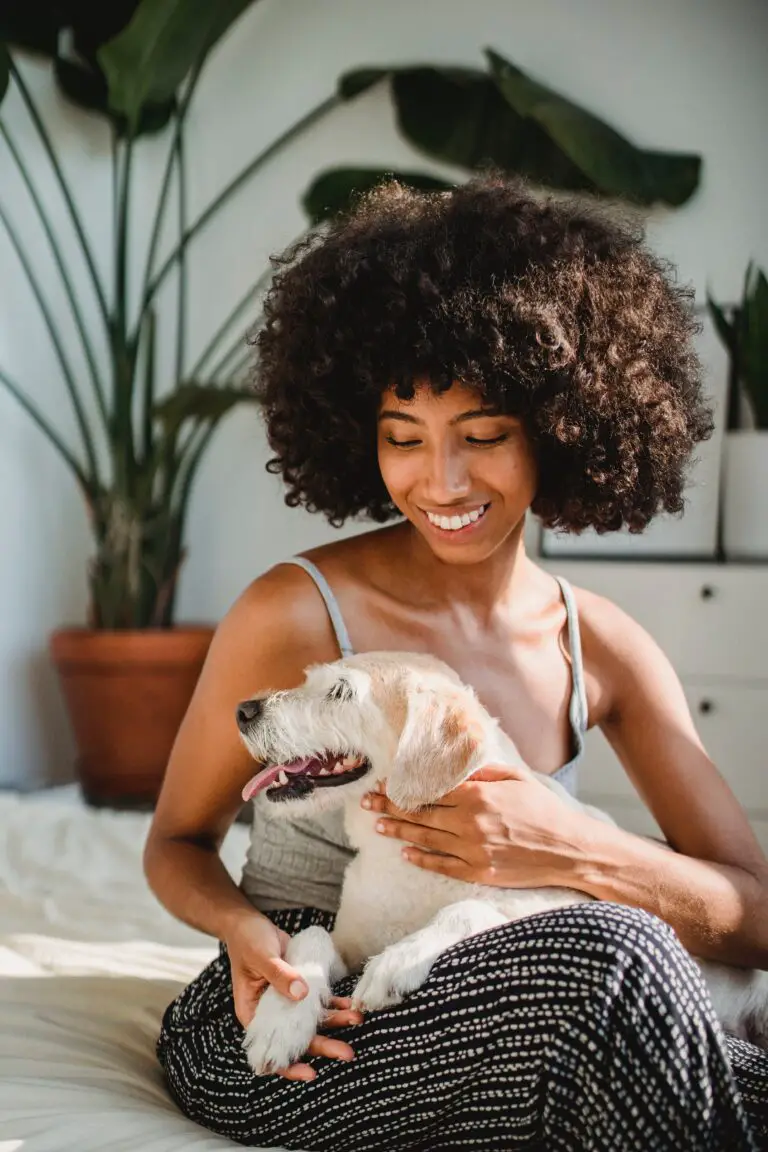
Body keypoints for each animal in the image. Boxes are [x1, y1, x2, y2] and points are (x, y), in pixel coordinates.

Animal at [236, 654, 768, 1073]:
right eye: (310, 679)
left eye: (340, 692)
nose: (243, 710)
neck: (404, 864)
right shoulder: (349, 939)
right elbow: (311, 935)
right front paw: (281, 1019)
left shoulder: (557, 898)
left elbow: (467, 909)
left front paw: (397, 961)